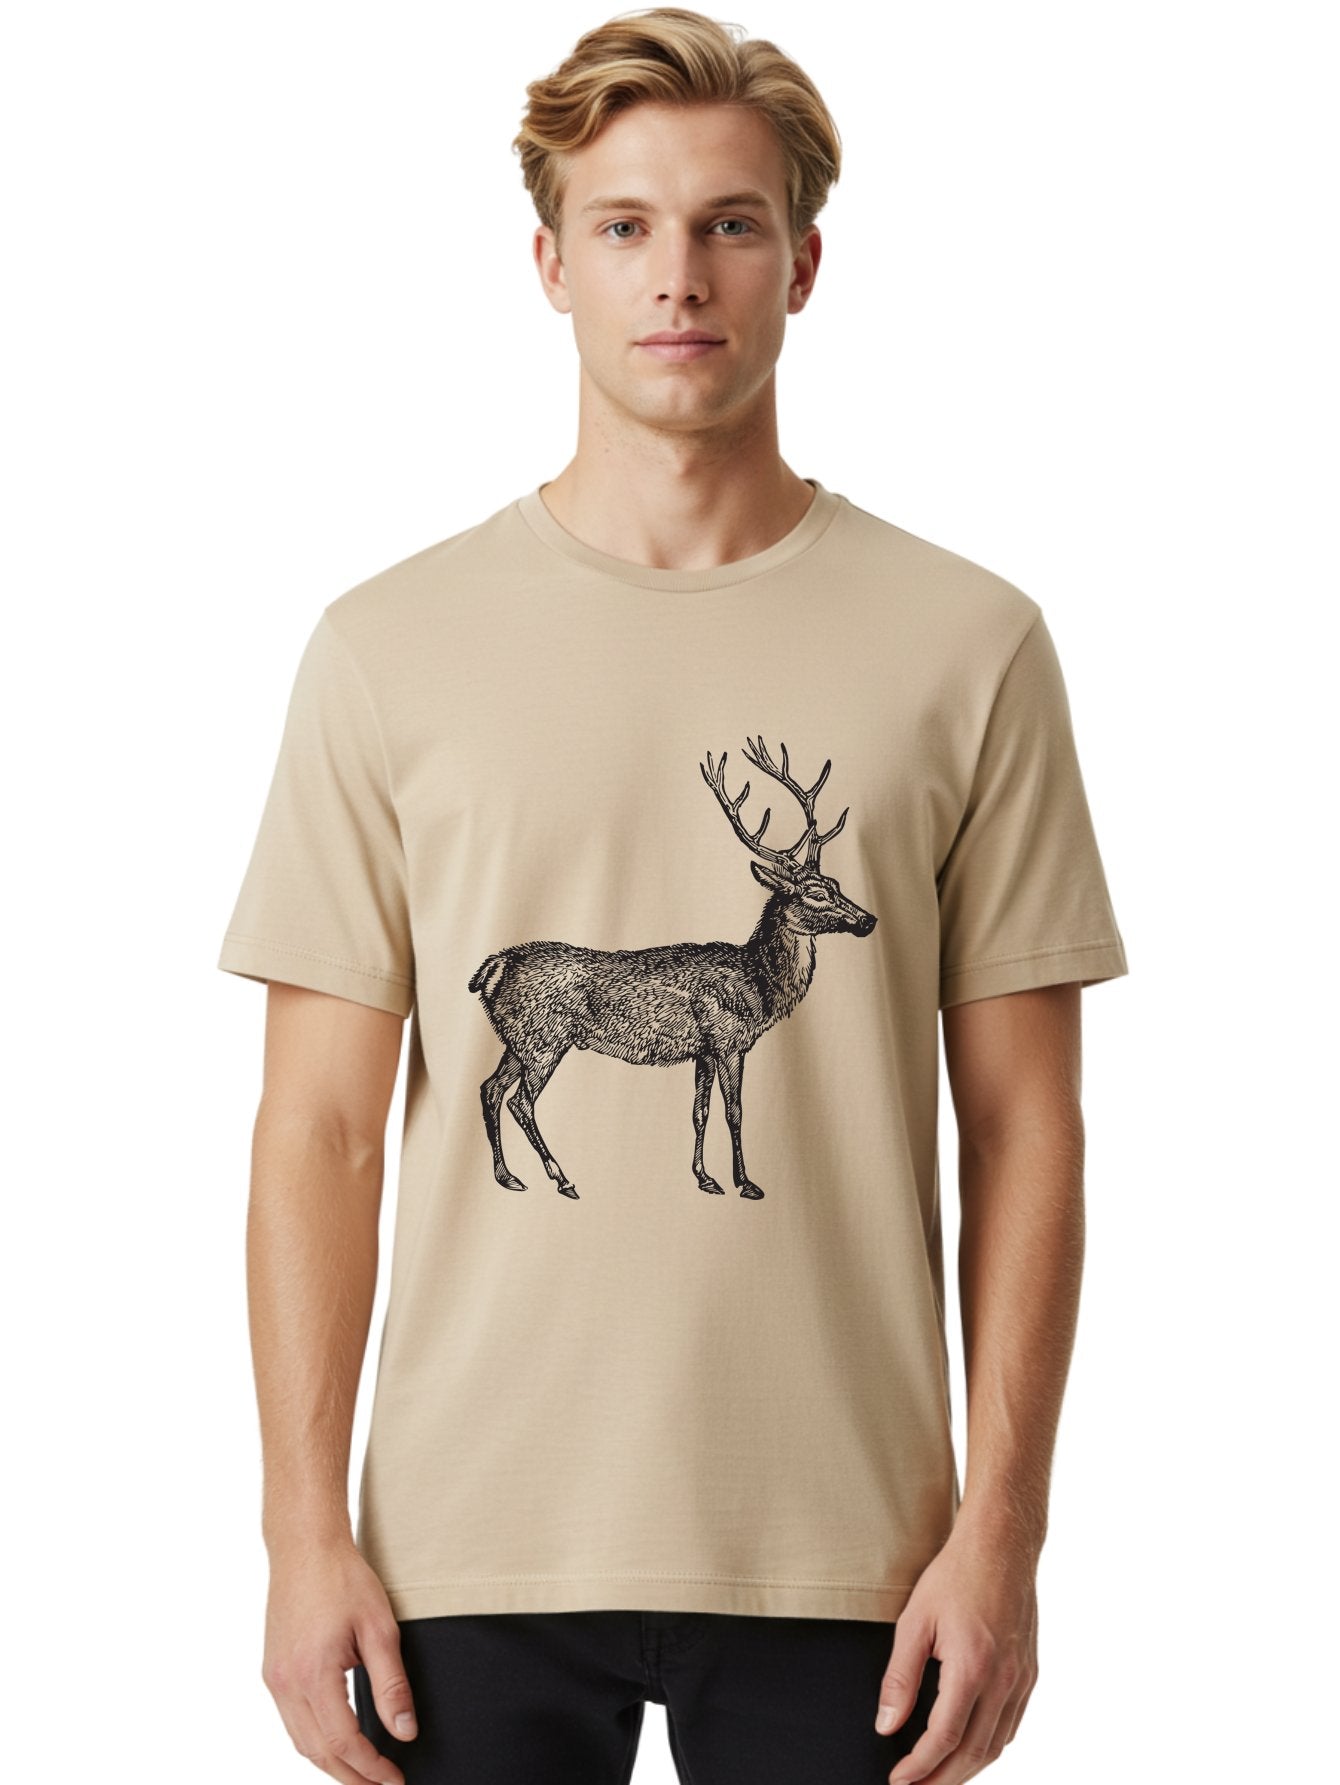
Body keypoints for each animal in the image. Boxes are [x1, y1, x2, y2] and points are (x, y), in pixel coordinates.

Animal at [467, 737, 877, 1201]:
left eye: (838, 885)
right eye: (816, 894)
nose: (867, 920)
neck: (759, 985)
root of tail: (493, 966)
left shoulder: (702, 1049)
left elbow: (700, 1111)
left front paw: (705, 1177)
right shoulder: (728, 1040)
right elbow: (734, 1111)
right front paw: (746, 1182)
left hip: (515, 1039)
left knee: (489, 1089)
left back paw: (508, 1176)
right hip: (543, 1039)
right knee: (520, 1101)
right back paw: (562, 1177)